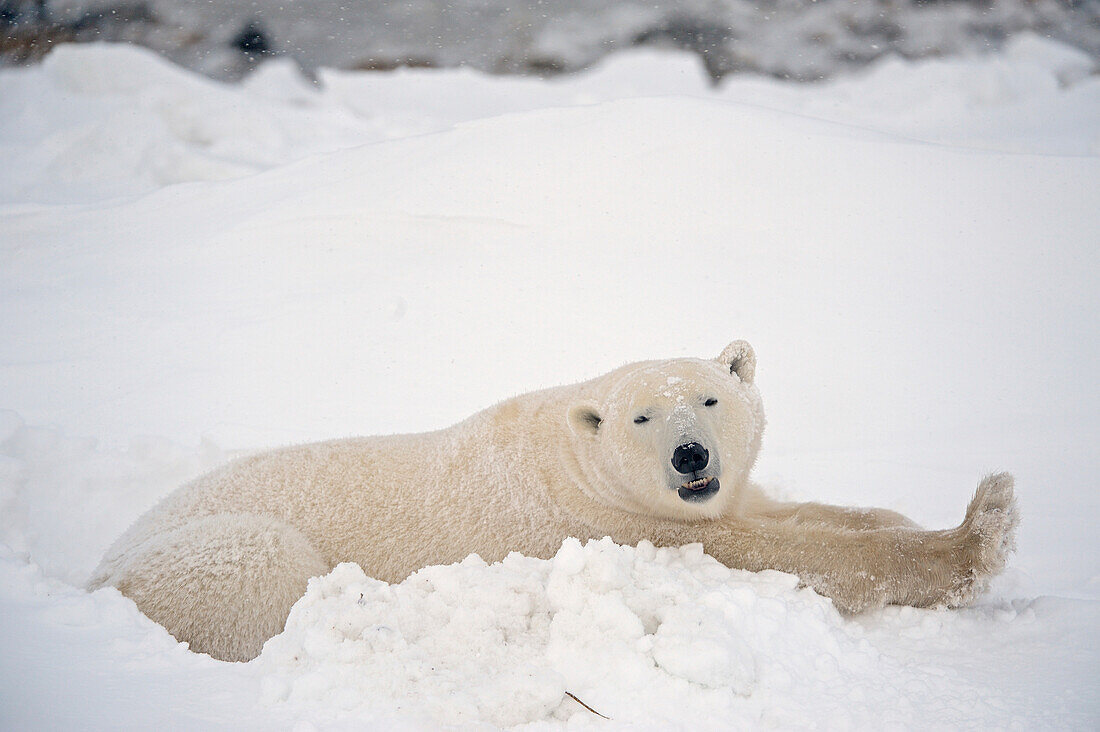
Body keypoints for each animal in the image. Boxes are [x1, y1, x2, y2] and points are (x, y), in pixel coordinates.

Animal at [90, 343, 1016, 660]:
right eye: (644, 416)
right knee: (261, 569)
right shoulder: (612, 526)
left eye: (711, 398)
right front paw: (983, 531)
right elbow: (790, 557)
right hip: (208, 556)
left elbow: (787, 514)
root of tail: (96, 571)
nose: (690, 455)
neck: (572, 454)